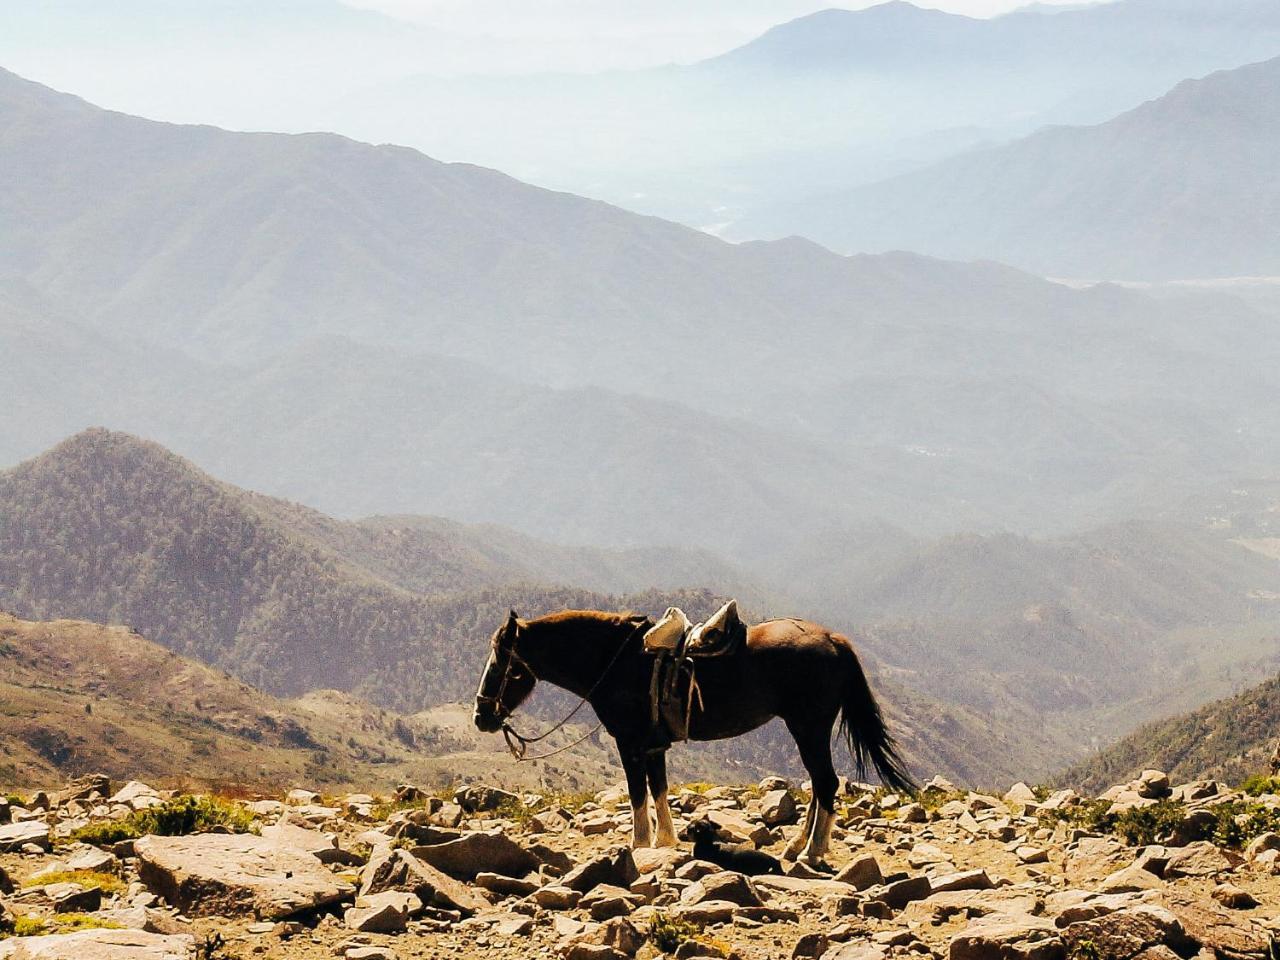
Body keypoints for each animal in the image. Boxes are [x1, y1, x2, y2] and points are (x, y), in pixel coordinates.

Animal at [476, 609, 916, 865]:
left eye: (501, 665)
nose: (482, 717)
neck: (615, 661)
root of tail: (833, 640)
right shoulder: (652, 743)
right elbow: (658, 788)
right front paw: (665, 841)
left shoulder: (628, 741)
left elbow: (638, 792)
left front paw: (639, 844)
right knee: (819, 783)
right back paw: (797, 846)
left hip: (809, 727)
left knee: (825, 782)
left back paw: (811, 851)